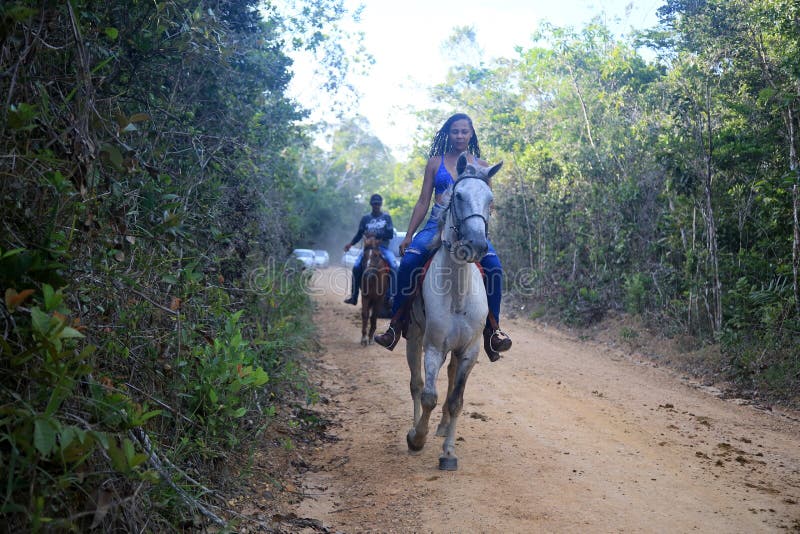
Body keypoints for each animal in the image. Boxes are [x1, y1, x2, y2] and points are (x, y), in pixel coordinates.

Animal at [406, 153, 500, 472]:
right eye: (458, 196)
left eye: (490, 200)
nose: (477, 244)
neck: (457, 292)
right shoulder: (433, 346)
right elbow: (429, 396)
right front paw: (417, 439)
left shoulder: (470, 350)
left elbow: (456, 400)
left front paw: (448, 453)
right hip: (414, 338)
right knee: (416, 384)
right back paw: (418, 428)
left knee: (449, 383)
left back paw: (443, 428)